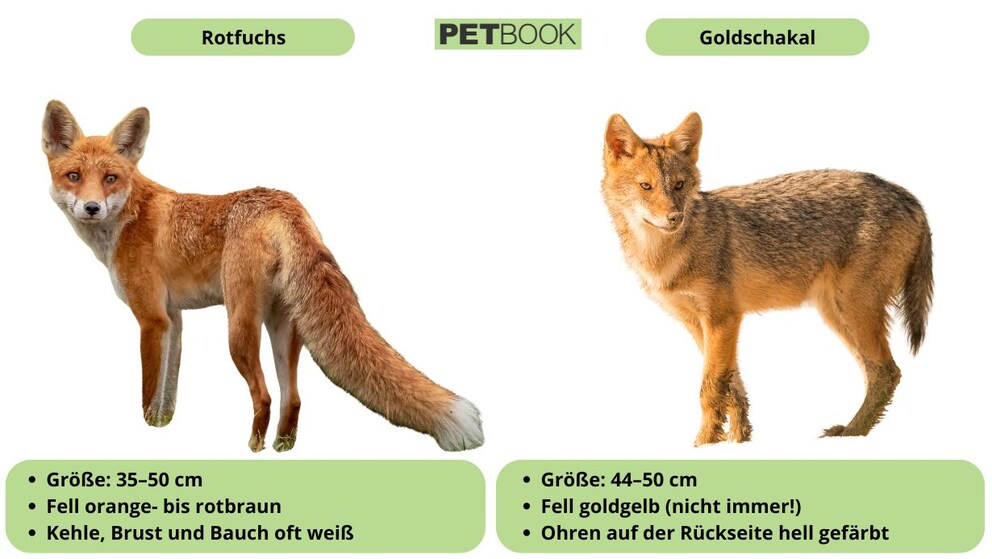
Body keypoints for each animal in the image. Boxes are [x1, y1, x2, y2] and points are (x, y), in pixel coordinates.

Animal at [41, 100, 484, 452]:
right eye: (74, 176)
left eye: (111, 178)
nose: (92, 208)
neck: (127, 217)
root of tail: (286, 203)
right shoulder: (174, 320)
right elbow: (169, 389)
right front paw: (163, 426)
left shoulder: (151, 319)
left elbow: (149, 389)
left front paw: (148, 432)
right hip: (283, 328)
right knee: (294, 398)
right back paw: (283, 447)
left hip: (239, 329)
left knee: (266, 396)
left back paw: (253, 446)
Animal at [601, 112, 932, 445]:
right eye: (646, 186)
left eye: (679, 185)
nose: (675, 218)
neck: (666, 255)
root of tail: (909, 196)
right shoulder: (701, 324)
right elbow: (733, 390)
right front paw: (738, 440)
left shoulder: (722, 320)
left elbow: (710, 389)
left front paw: (703, 443)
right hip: (836, 314)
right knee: (877, 373)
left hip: (853, 310)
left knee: (887, 372)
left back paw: (852, 434)